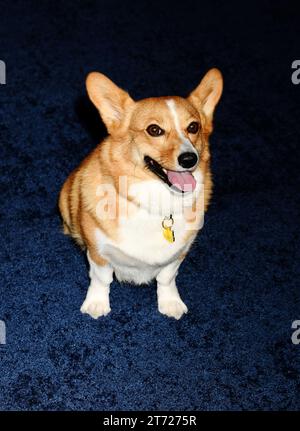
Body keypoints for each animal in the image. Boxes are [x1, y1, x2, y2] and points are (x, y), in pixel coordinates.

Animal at [58, 69, 223, 320]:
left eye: (193, 127)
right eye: (154, 130)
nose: (189, 159)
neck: (157, 202)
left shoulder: (178, 254)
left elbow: (167, 278)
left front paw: (170, 303)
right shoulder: (98, 253)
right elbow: (101, 280)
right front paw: (96, 304)